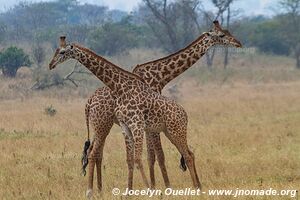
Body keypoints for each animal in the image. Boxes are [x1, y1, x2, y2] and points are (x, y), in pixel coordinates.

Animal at [48, 36, 204, 195]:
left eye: (62, 52)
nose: (51, 65)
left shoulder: (141, 126)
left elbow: (145, 157)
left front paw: (151, 189)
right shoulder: (136, 127)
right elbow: (144, 157)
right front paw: (152, 189)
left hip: (168, 130)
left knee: (188, 154)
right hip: (107, 126)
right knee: (94, 153)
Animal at [84, 20, 241, 194]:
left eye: (228, 31)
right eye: (222, 35)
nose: (238, 43)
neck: (161, 74)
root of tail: (89, 102)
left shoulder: (149, 123)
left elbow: (150, 155)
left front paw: (153, 186)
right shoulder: (152, 121)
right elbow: (157, 155)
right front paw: (164, 187)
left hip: (102, 125)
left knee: (96, 152)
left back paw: (99, 190)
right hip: (102, 124)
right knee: (94, 153)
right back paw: (92, 190)